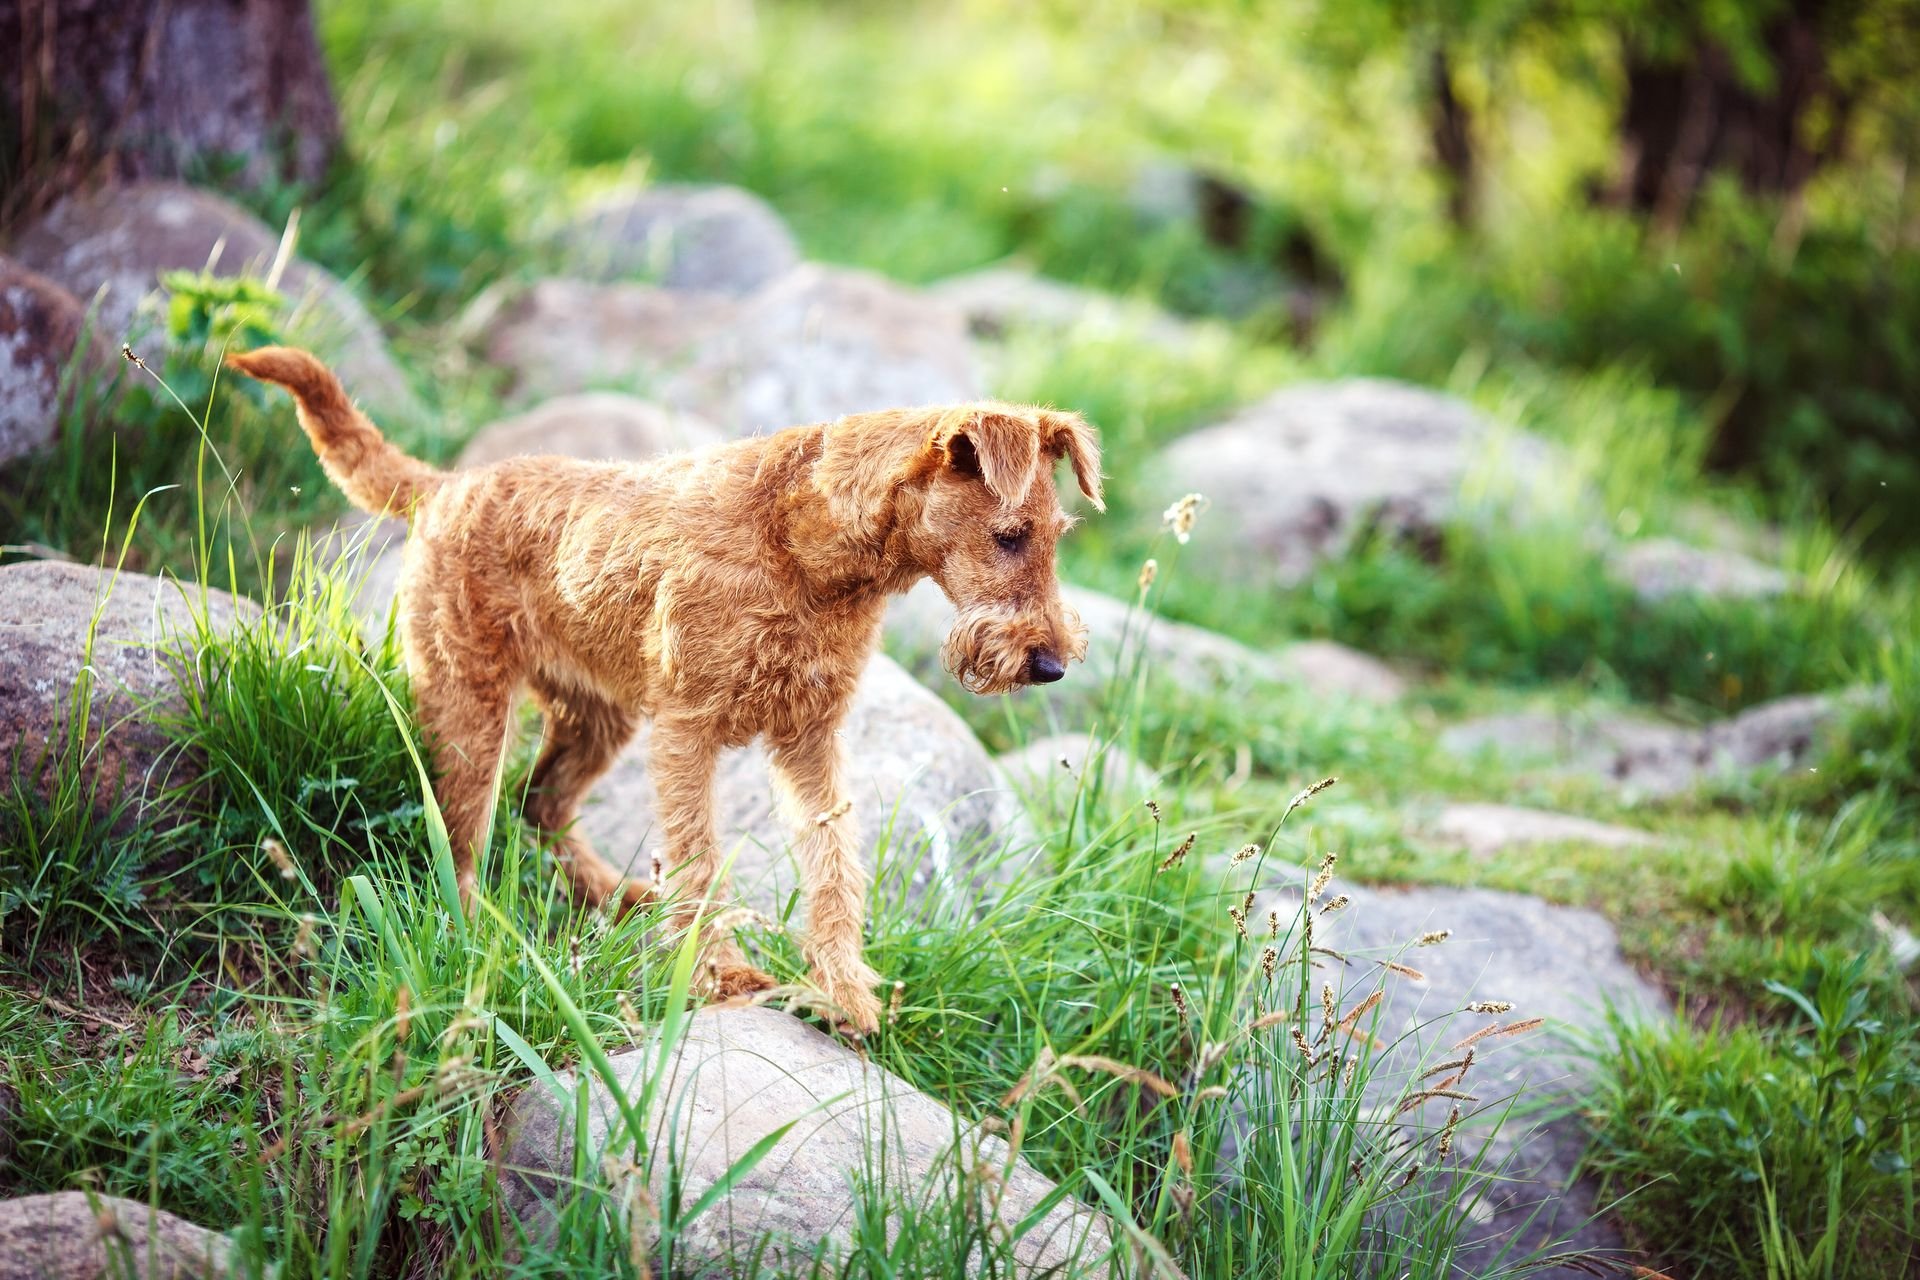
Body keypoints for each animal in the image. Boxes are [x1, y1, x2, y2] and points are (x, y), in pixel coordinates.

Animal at [228, 343, 1098, 1028]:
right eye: (1009, 535)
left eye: (1057, 534)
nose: (1052, 663)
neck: (813, 550)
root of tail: (445, 487)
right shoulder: (689, 727)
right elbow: (700, 858)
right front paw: (722, 974)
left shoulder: (810, 738)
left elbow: (832, 869)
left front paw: (845, 995)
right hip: (470, 702)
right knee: (461, 839)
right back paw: (481, 941)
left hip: (596, 717)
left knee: (540, 804)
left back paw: (622, 900)